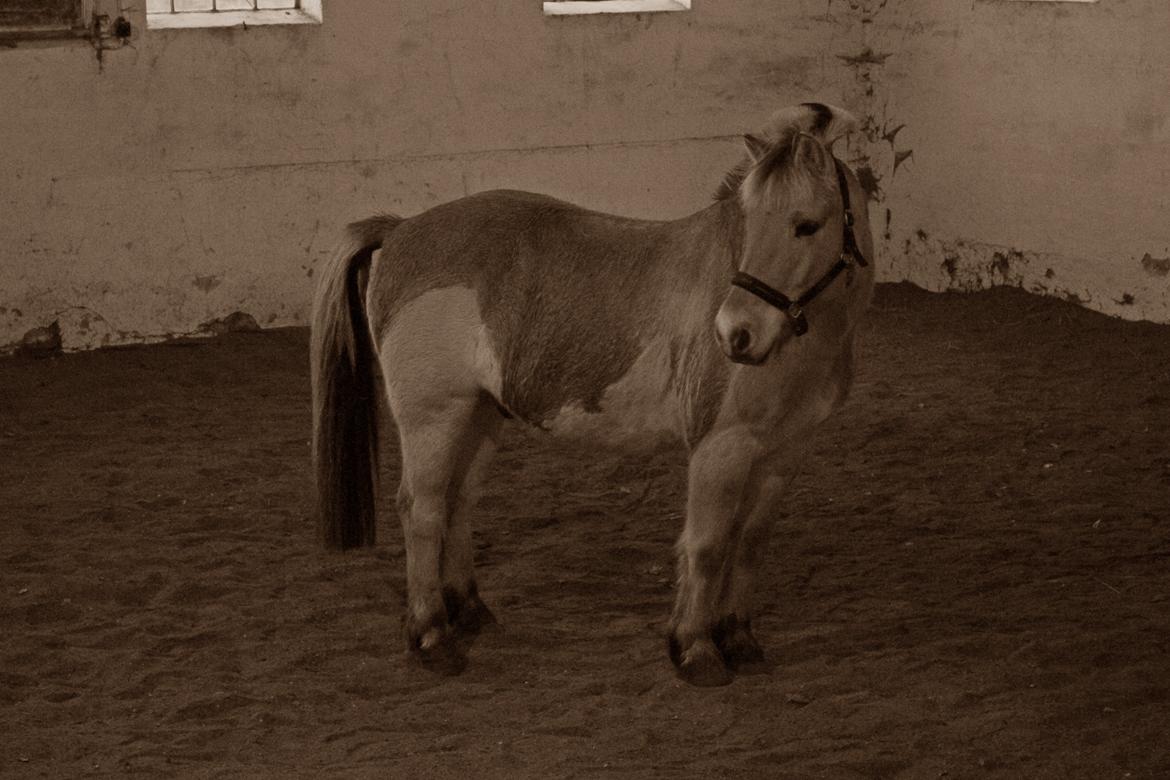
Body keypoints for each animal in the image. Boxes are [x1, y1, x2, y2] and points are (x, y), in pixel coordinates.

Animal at [306, 100, 875, 687]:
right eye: (747, 223)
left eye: (806, 226)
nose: (735, 334)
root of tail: (400, 230)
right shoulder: (721, 448)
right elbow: (708, 545)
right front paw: (695, 649)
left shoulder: (784, 453)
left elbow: (751, 542)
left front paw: (739, 639)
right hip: (433, 419)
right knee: (421, 510)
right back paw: (431, 637)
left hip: (479, 416)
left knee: (457, 502)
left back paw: (469, 612)